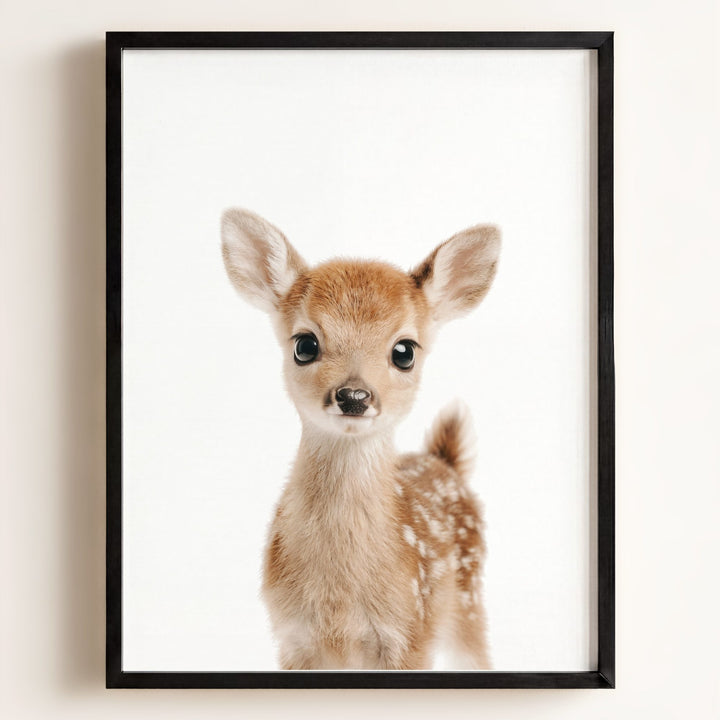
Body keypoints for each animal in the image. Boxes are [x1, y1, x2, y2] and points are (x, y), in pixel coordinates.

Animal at [221, 208, 500, 670]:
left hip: (468, 601)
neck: (339, 603)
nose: (354, 396)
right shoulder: (292, 638)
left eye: (404, 351)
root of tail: (445, 461)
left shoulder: (411, 634)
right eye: (305, 344)